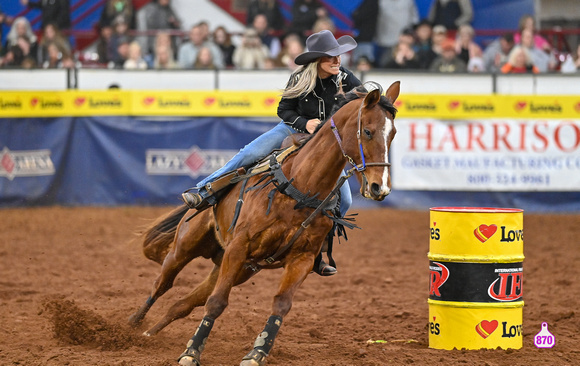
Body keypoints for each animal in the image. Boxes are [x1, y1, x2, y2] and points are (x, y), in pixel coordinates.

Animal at [128, 81, 398, 364]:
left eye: (392, 134)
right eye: (367, 131)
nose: (380, 187)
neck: (300, 186)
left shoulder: (302, 258)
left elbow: (280, 303)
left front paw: (257, 352)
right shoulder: (239, 247)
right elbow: (217, 302)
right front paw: (191, 353)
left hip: (238, 268)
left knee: (184, 303)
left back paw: (149, 333)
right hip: (186, 247)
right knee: (163, 283)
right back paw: (132, 326)